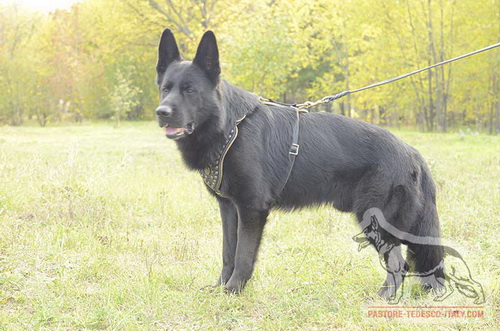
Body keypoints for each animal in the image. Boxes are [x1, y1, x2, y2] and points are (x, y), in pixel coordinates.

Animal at [155, 29, 442, 298]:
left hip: (375, 219)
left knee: (399, 263)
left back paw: (384, 296)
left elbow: (243, 255)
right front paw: (220, 288)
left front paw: (233, 290)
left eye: (190, 90)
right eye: (165, 89)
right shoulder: (229, 208)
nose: (162, 113)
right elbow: (228, 253)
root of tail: (413, 153)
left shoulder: (251, 209)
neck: (230, 127)